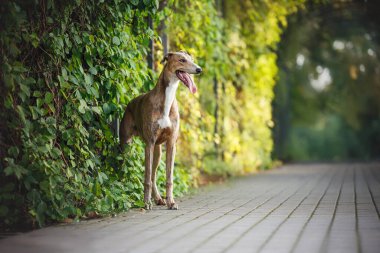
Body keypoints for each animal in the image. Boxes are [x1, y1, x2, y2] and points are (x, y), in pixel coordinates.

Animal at [119, 51, 202, 210]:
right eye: (182, 60)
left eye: (192, 59)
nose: (199, 69)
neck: (167, 98)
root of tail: (130, 102)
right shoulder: (150, 143)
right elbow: (146, 178)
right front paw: (146, 203)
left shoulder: (171, 143)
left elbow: (168, 177)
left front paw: (171, 202)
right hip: (127, 144)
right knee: (136, 171)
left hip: (158, 151)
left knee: (153, 174)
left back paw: (158, 198)